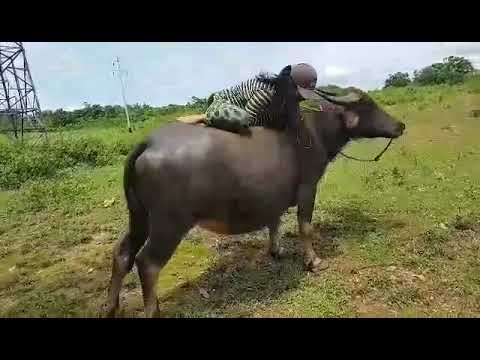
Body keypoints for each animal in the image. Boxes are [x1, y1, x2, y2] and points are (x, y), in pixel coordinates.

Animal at [105, 88, 404, 318]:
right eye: (369, 105)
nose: (400, 126)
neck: (315, 131)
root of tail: (148, 142)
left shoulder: (273, 196)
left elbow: (275, 221)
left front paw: (276, 250)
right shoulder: (308, 188)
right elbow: (305, 226)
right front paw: (313, 261)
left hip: (139, 215)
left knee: (122, 254)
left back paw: (111, 307)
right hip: (169, 223)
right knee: (147, 263)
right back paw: (152, 310)